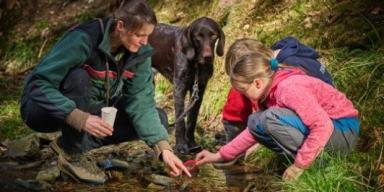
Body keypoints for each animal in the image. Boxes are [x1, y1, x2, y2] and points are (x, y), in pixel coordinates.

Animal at [148, 16, 225, 154]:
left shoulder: (199, 89)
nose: (207, 57)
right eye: (198, 36)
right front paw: (181, 145)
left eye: (213, 36)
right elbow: (180, 120)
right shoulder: (179, 88)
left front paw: (191, 143)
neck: (196, 64)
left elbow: (192, 119)